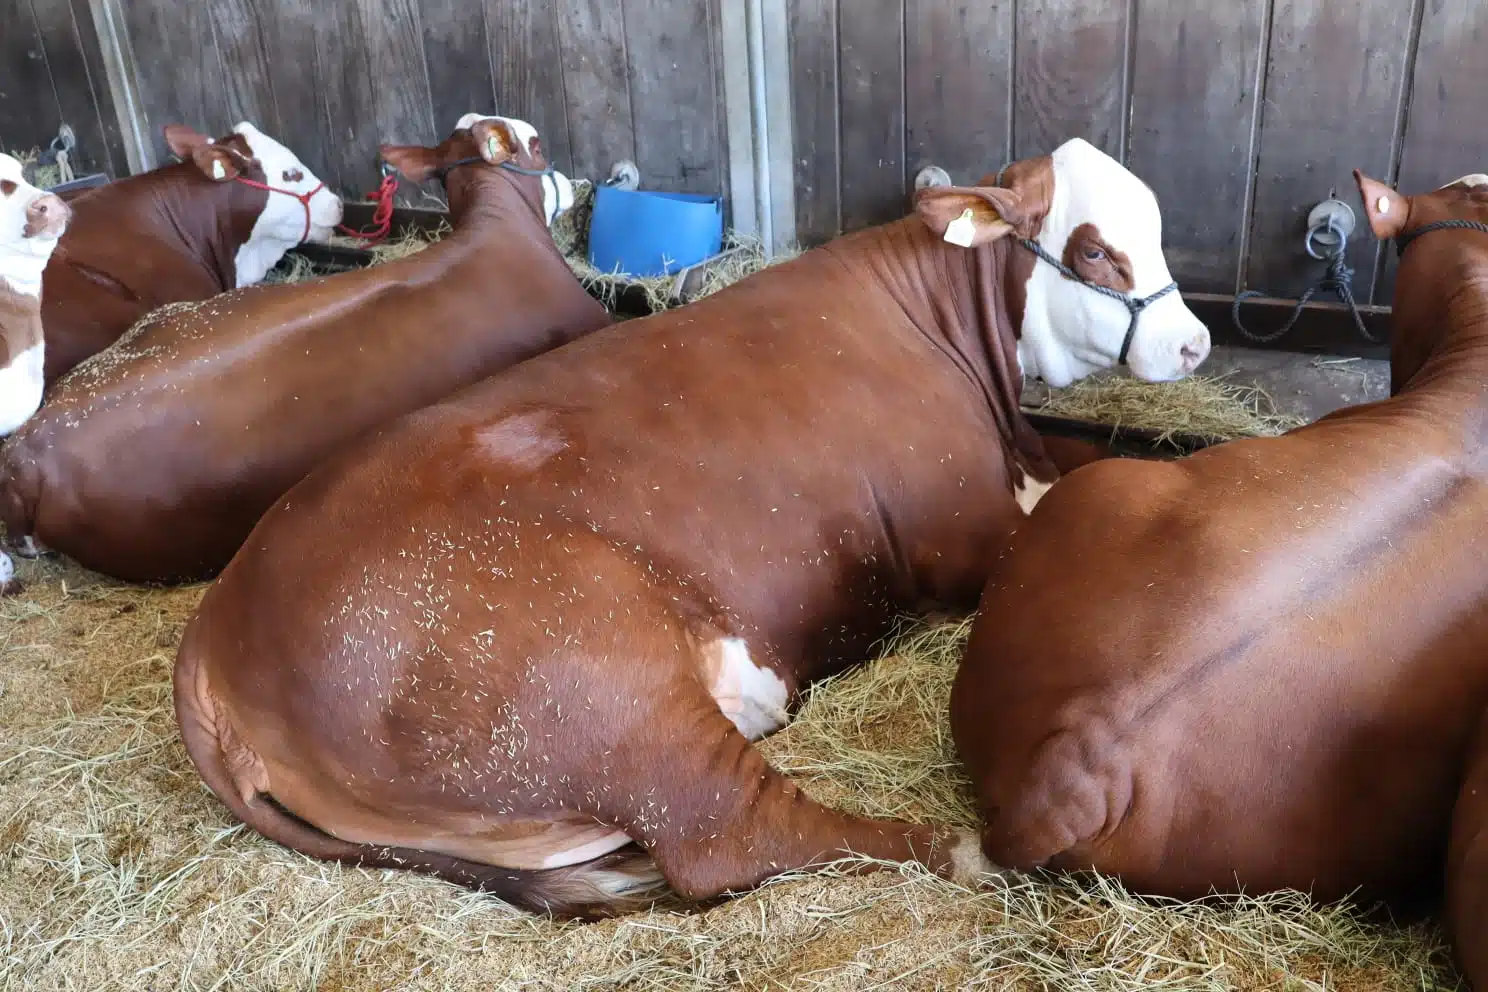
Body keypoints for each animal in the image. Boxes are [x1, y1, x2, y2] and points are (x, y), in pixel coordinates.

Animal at [172, 137, 1211, 918]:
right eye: (1093, 250)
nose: (1195, 342)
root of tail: (214, 637)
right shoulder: (959, 537)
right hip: (602, 687)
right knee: (733, 835)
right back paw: (962, 848)